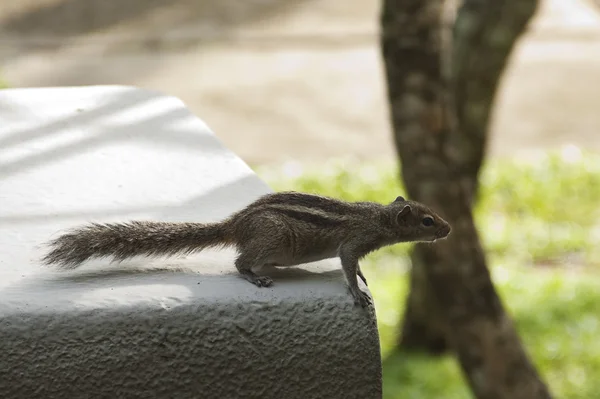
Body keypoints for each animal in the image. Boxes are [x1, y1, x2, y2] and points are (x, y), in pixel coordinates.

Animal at [42, 192, 450, 308]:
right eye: (427, 221)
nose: (449, 228)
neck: (378, 218)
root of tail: (235, 224)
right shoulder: (354, 240)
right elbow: (347, 263)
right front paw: (357, 292)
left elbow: (356, 267)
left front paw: (364, 279)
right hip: (272, 239)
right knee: (239, 261)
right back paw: (255, 277)